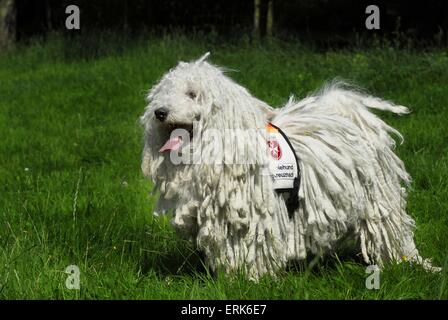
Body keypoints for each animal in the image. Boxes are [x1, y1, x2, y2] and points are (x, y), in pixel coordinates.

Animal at [139, 53, 438, 278]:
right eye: (163, 93)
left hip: (377, 199)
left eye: (192, 94)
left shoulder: (259, 214)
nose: (160, 112)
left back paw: (408, 263)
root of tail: (354, 120)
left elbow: (254, 245)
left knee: (390, 231)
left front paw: (250, 278)